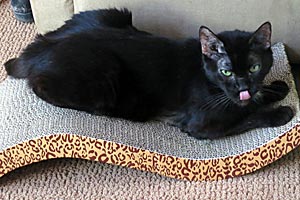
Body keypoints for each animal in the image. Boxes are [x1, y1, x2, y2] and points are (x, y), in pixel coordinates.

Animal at [4, 8, 294, 139]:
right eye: (226, 71)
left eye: (255, 68)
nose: (244, 86)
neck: (206, 75)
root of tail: (40, 49)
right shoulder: (203, 124)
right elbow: (246, 115)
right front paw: (280, 111)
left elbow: (252, 101)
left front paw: (276, 88)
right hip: (104, 78)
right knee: (39, 85)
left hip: (114, 14)